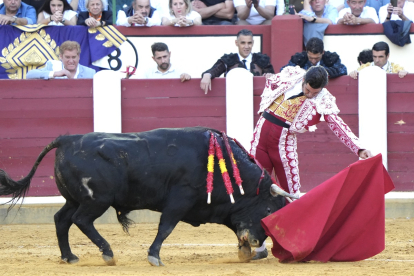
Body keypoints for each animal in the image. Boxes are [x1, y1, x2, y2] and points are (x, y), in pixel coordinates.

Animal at [0, 126, 286, 266]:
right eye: (269, 211)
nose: (259, 243)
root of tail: (67, 140)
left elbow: (233, 226)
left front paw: (245, 251)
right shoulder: (179, 201)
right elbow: (165, 228)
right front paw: (154, 257)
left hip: (74, 199)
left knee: (62, 219)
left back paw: (69, 257)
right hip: (95, 200)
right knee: (81, 220)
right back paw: (107, 253)